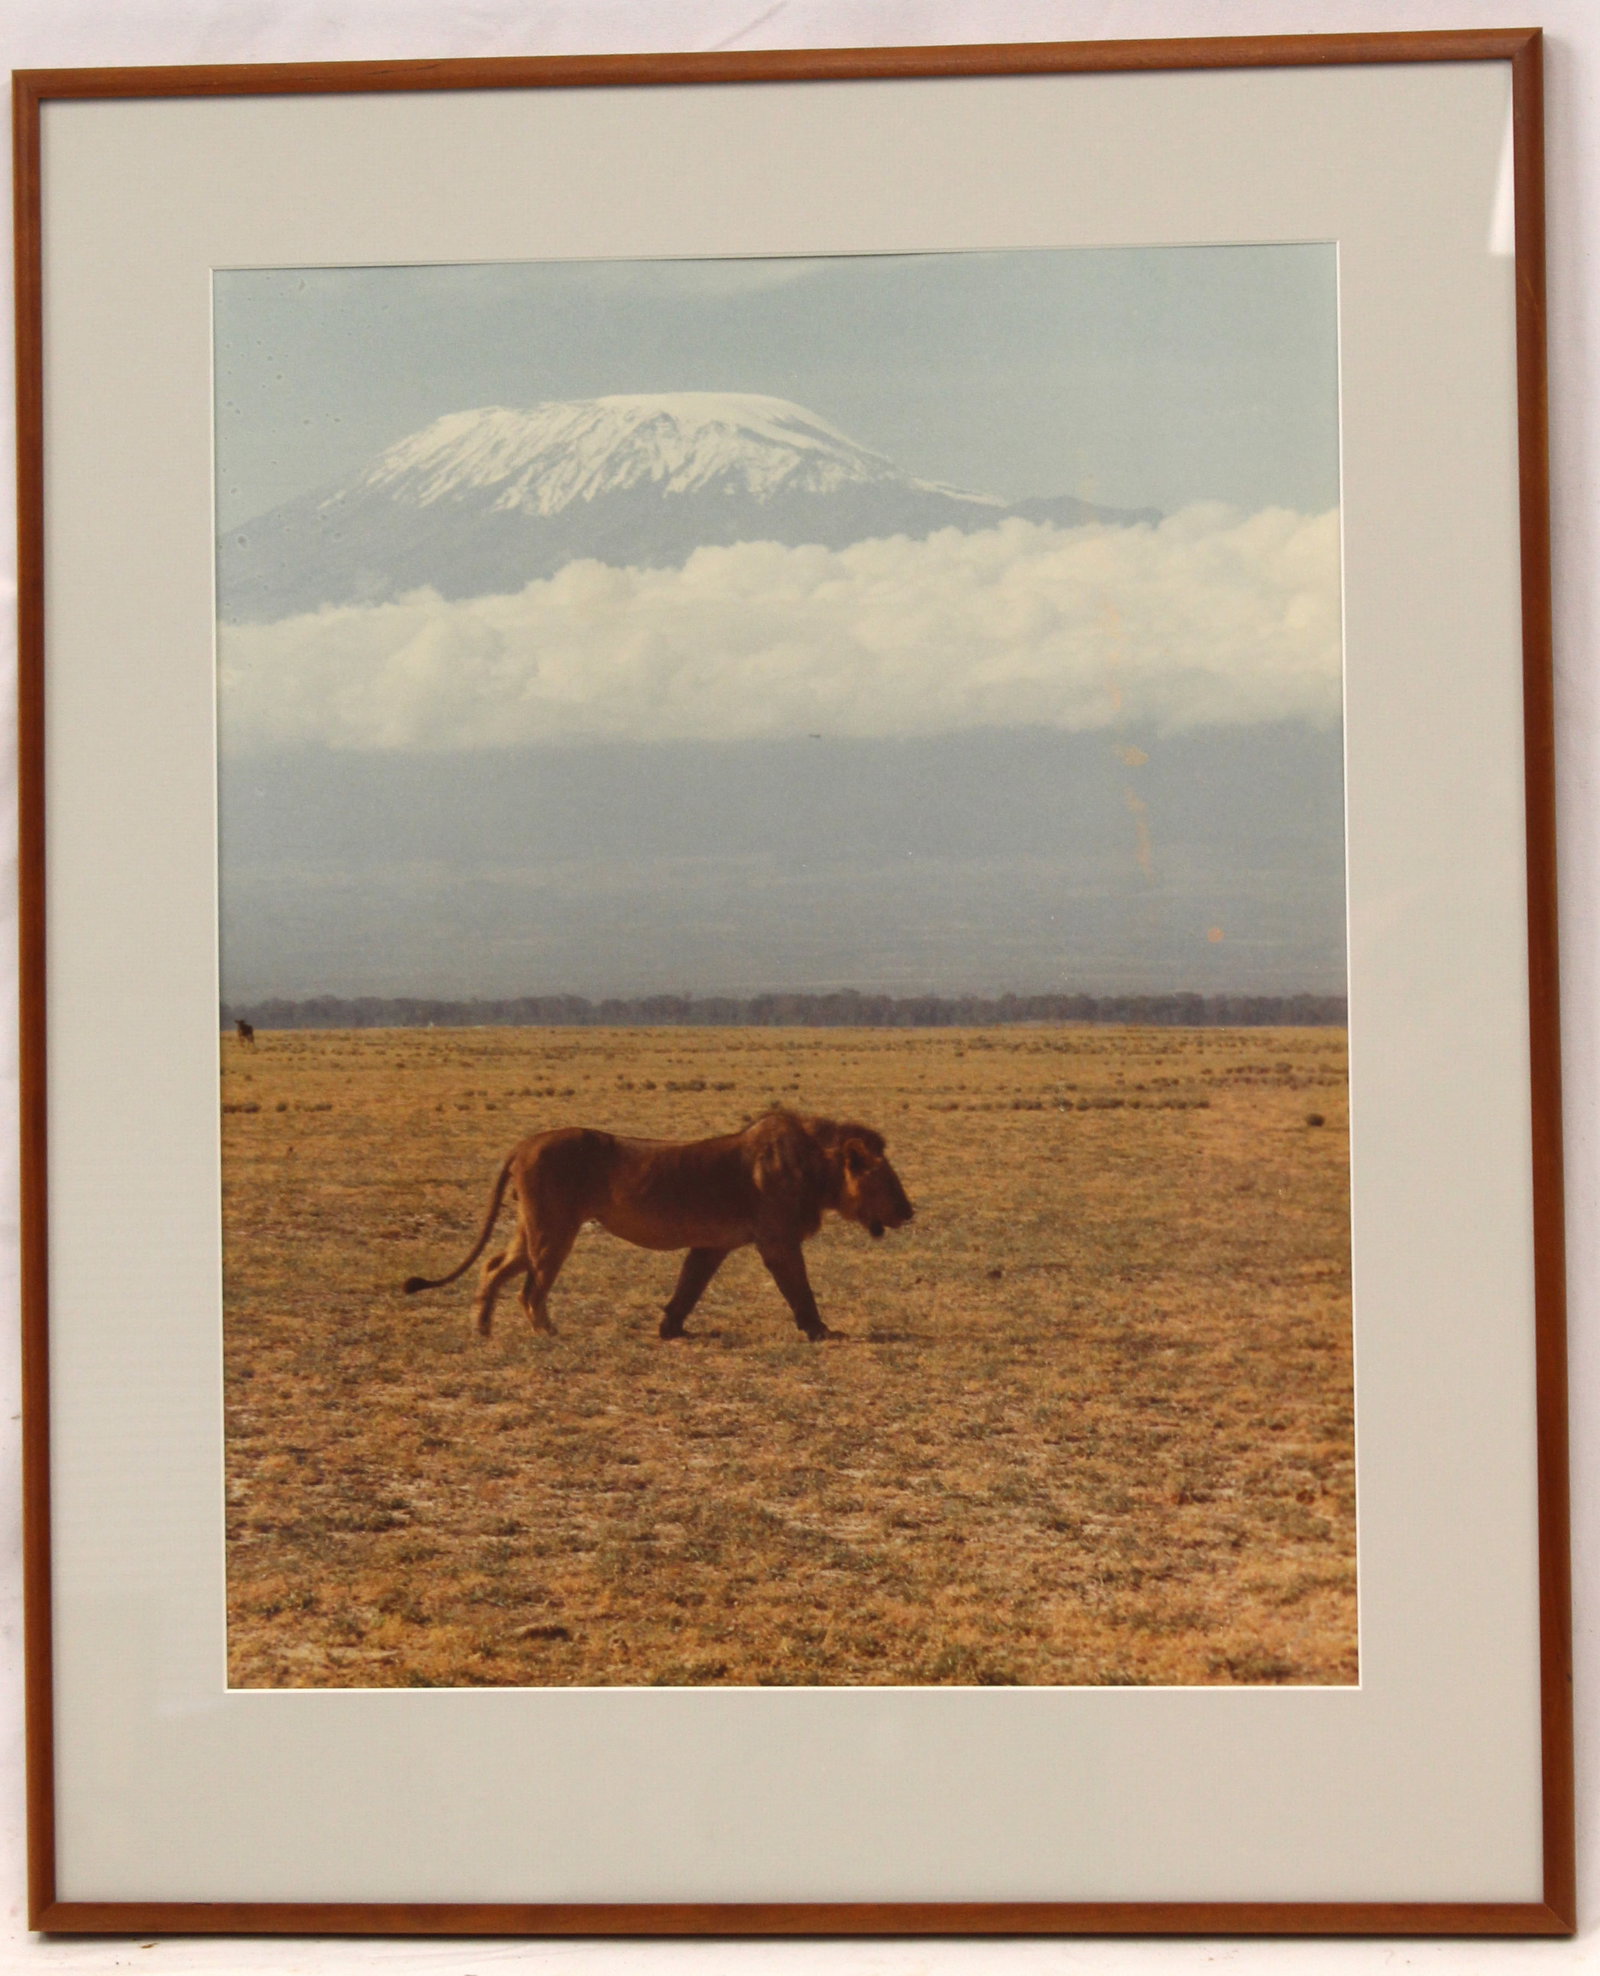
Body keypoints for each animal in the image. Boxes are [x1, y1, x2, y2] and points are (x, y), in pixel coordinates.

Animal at [403, 1108, 914, 1342]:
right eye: (886, 1178)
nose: (909, 1211)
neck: (816, 1170)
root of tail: (523, 1143)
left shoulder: (711, 1245)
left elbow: (688, 1287)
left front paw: (671, 1329)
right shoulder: (777, 1240)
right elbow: (800, 1288)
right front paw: (820, 1331)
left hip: (531, 1227)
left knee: (493, 1267)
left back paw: (482, 1329)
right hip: (554, 1228)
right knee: (532, 1288)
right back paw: (549, 1333)